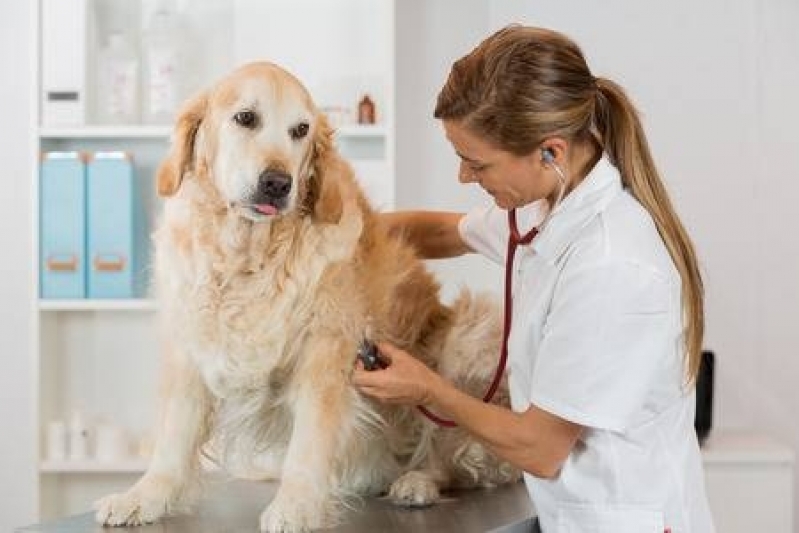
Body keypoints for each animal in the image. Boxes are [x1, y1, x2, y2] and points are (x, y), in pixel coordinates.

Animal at [95, 61, 520, 528]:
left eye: (300, 130)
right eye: (246, 118)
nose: (277, 183)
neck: (248, 254)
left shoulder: (328, 350)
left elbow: (310, 439)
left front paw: (296, 504)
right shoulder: (190, 344)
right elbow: (173, 436)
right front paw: (145, 496)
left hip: (472, 331)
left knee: (453, 453)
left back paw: (418, 481)